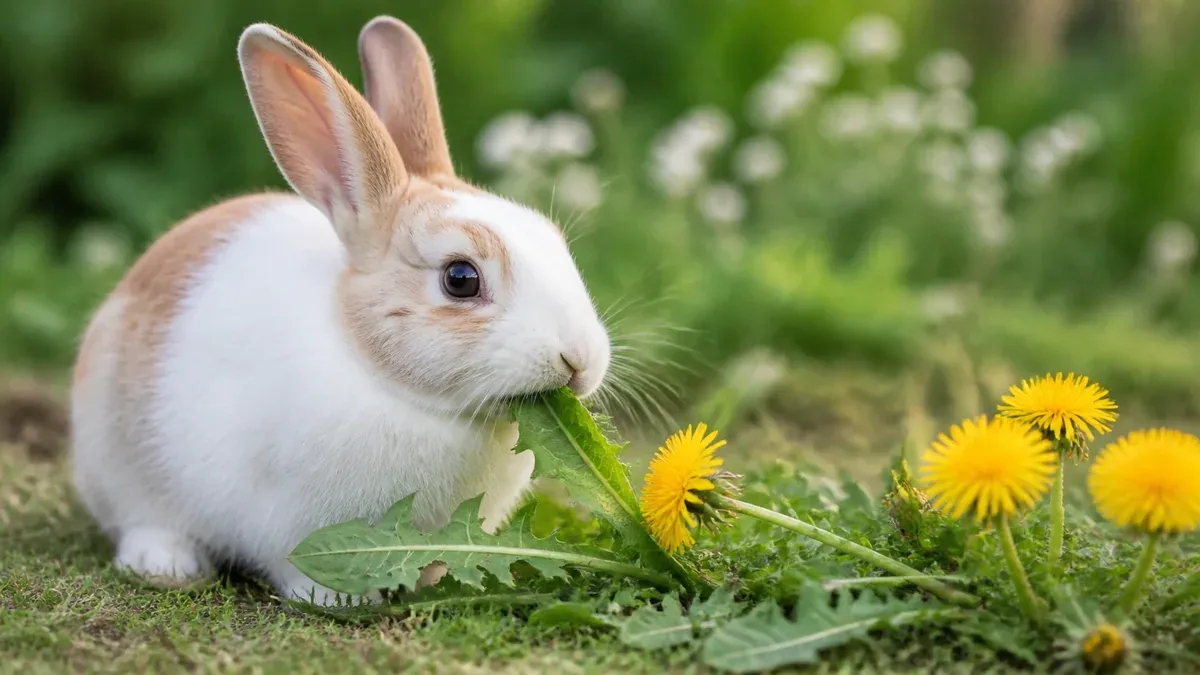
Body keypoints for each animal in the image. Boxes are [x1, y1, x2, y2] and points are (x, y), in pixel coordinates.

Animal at [69, 16, 611, 605]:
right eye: (460, 279)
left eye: (554, 240)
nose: (580, 358)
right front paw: (338, 598)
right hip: (119, 464)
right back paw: (166, 565)